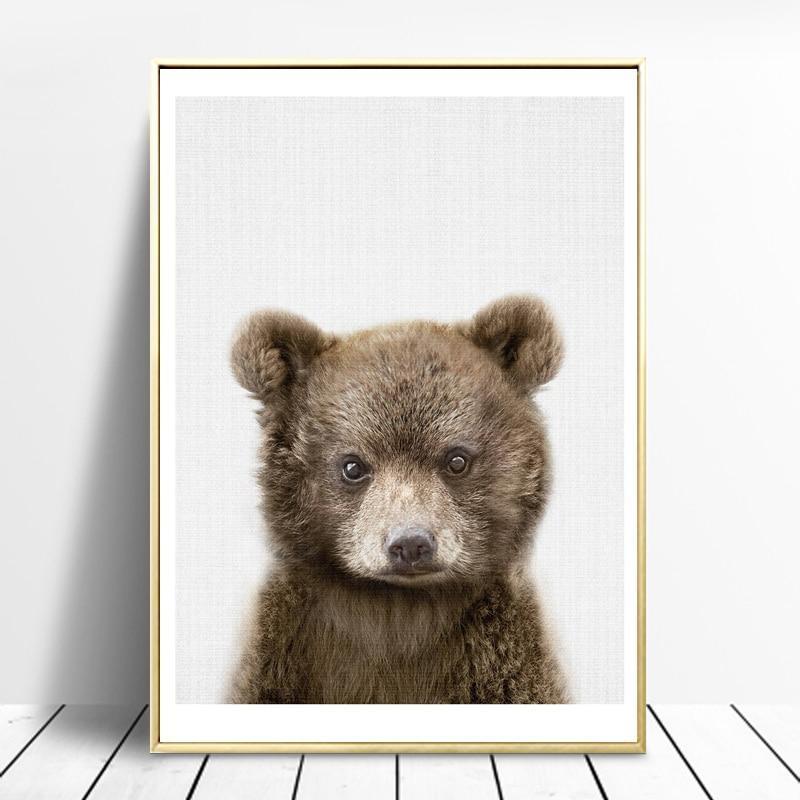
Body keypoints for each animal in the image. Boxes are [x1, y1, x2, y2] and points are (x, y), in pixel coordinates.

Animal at [228, 295, 568, 704]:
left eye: (456, 459)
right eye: (353, 465)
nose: (410, 544)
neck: (396, 612)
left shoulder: (500, 661)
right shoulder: (282, 657)